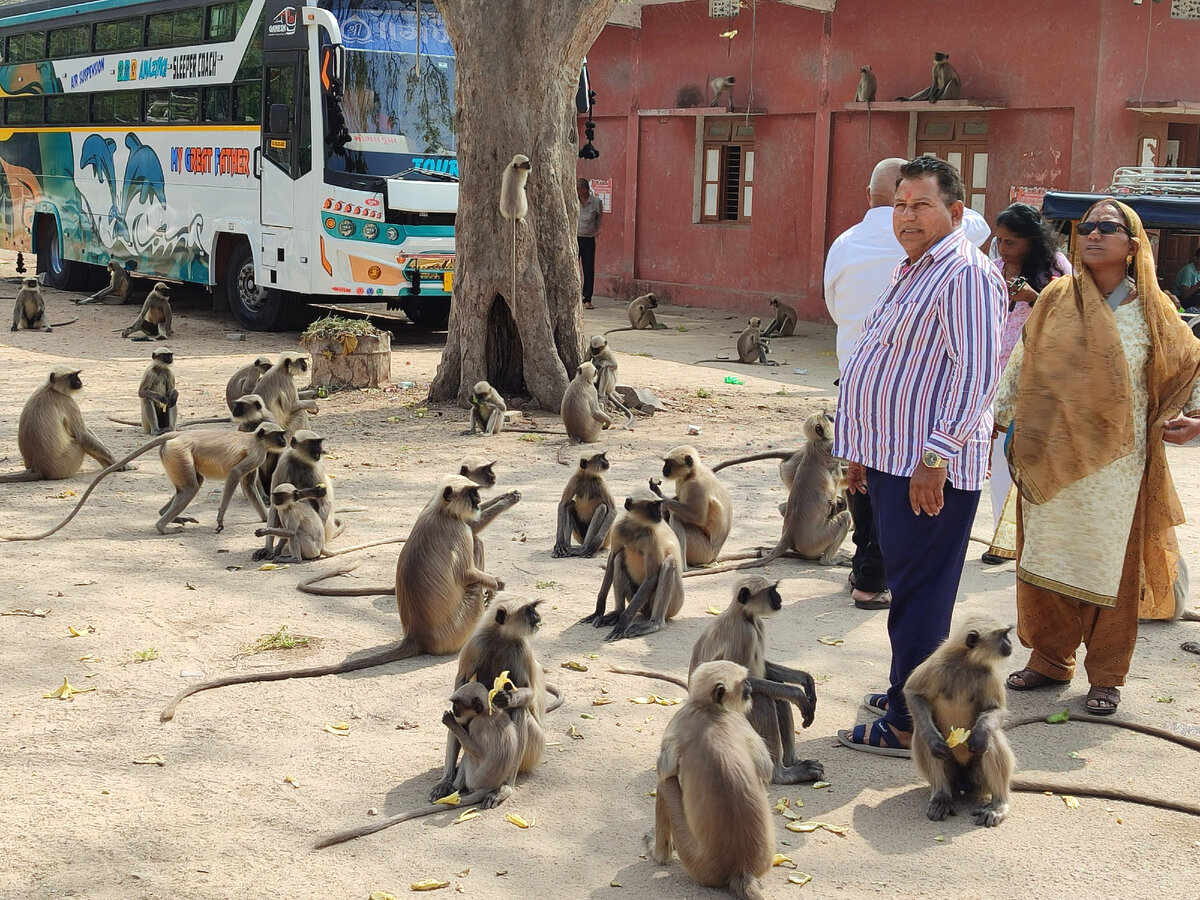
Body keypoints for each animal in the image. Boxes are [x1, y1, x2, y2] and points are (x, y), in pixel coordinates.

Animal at [0, 367, 128, 482]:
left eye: (77, 375)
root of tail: (37, 469)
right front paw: (117, 462)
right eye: (72, 376)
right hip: (67, 463)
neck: (52, 389)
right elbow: (82, 435)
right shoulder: (68, 402)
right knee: (80, 442)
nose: (79, 381)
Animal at [580, 489, 686, 643]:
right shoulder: (618, 529)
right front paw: (599, 610)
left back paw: (654, 623)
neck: (637, 527)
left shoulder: (652, 538)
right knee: (619, 557)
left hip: (674, 603)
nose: (659, 514)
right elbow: (611, 560)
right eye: (652, 505)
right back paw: (617, 612)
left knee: (669, 562)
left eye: (658, 504)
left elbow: (652, 576)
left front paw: (623, 622)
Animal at [643, 662, 772, 900]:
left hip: (696, 863)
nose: (750, 686)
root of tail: (739, 869)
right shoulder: (738, 719)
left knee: (664, 784)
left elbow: (664, 770)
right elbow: (766, 770)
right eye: (744, 682)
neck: (710, 710)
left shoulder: (683, 716)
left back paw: (658, 854)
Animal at [902, 619, 1017, 830]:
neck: (967, 661)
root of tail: (963, 784)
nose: (1010, 643)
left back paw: (998, 805)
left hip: (979, 781)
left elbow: (996, 710)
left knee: (991, 738)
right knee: (922, 733)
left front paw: (980, 734)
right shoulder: (937, 665)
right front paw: (934, 741)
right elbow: (913, 693)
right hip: (952, 776)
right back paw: (941, 797)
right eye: (1003, 635)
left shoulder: (989, 673)